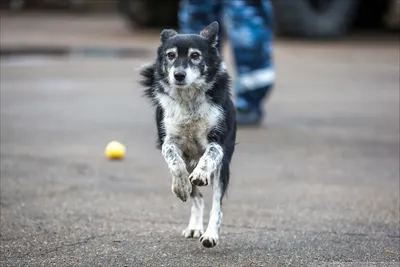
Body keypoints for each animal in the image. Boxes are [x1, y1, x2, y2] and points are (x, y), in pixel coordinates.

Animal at [139, 21, 236, 249]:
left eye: (195, 55)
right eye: (171, 55)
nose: (179, 75)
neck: (189, 99)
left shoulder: (218, 142)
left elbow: (208, 158)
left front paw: (200, 174)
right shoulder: (167, 141)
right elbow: (175, 163)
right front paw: (180, 185)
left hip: (223, 170)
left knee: (216, 203)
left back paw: (209, 235)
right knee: (197, 197)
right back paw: (194, 225)